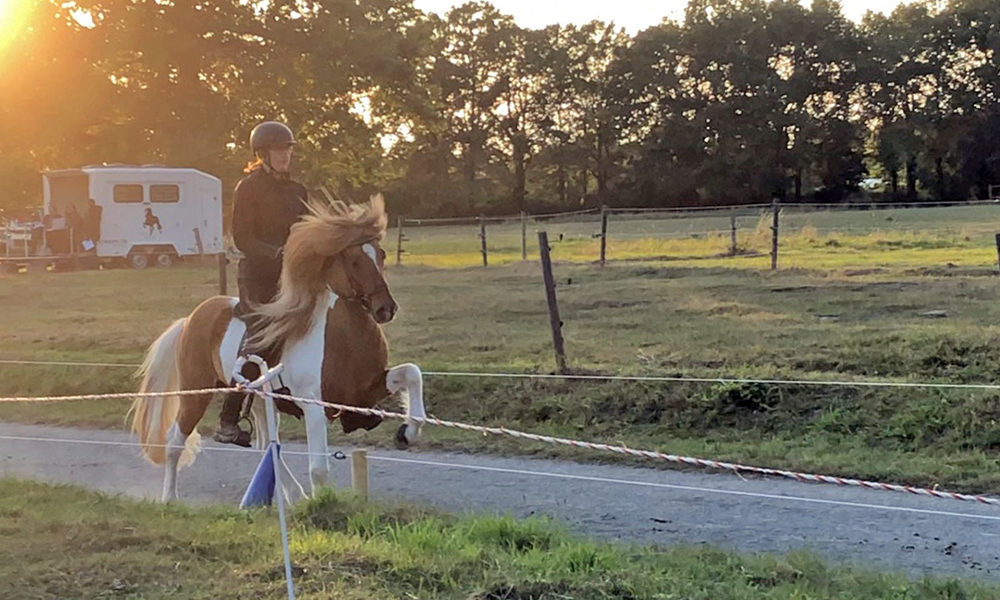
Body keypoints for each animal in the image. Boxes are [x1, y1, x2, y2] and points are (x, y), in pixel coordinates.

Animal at [127, 196, 424, 502]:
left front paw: (407, 432)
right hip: (195, 391)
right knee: (175, 440)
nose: (385, 309)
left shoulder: (367, 392)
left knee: (268, 446)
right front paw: (320, 504)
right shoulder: (313, 405)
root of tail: (190, 319)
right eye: (353, 260)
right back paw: (170, 497)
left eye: (381, 255)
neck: (343, 337)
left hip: (260, 400)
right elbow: (318, 469)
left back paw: (292, 494)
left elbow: (412, 373)